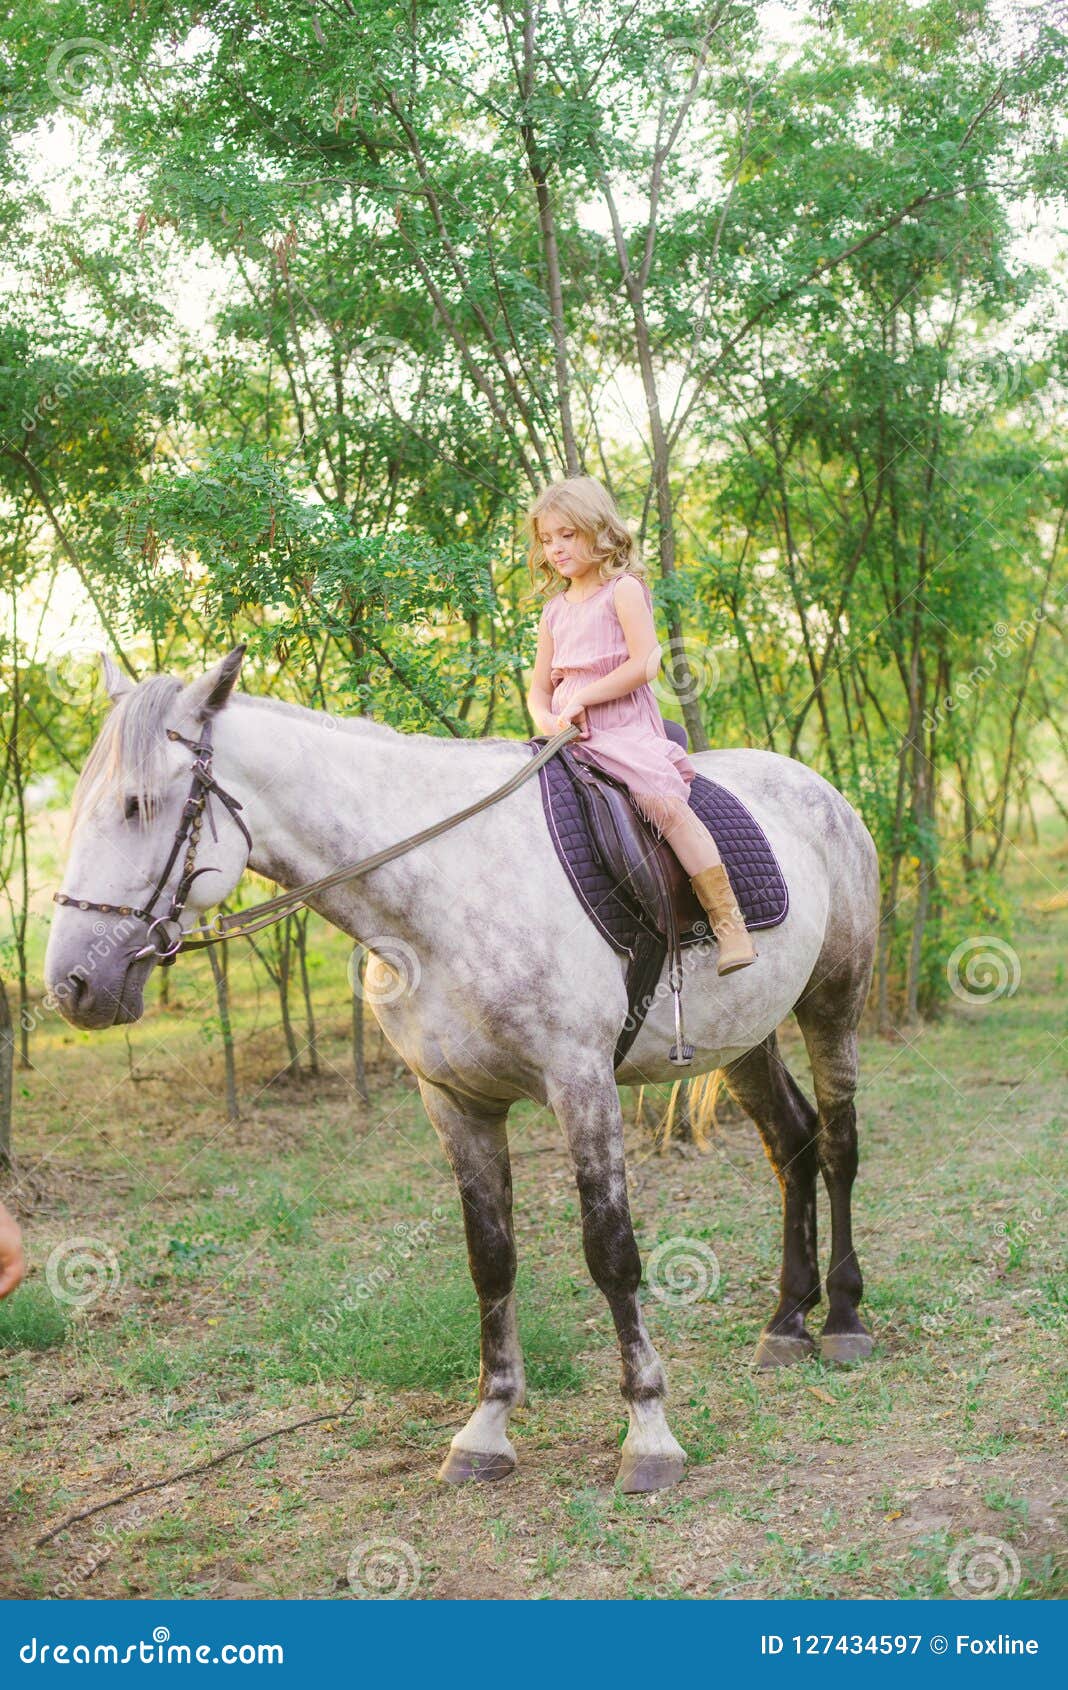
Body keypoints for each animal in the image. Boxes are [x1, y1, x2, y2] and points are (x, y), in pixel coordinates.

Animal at [43, 645, 878, 1493]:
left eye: (140, 805)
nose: (73, 984)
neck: (440, 893)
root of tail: (815, 789)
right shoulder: (455, 1101)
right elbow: (491, 1258)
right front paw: (488, 1427)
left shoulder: (582, 1084)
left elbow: (611, 1253)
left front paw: (648, 1433)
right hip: (745, 1035)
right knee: (792, 1143)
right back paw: (787, 1321)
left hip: (833, 1001)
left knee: (838, 1143)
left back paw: (842, 1318)